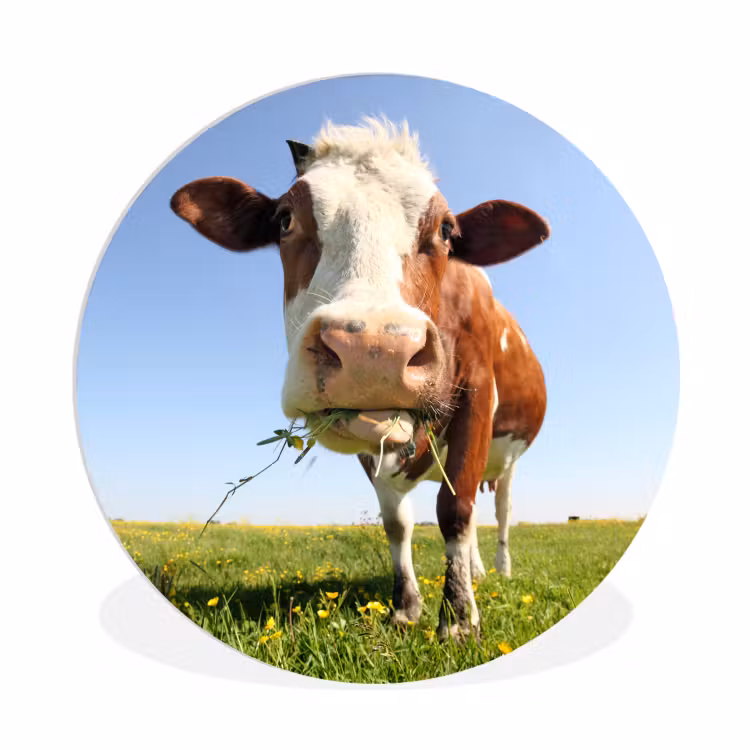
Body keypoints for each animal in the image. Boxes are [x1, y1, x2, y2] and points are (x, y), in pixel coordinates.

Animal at [171, 118, 548, 640]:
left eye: (447, 230)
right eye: (284, 219)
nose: (374, 350)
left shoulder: (476, 394)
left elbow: (455, 511)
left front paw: (457, 619)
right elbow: (397, 522)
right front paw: (407, 607)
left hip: (508, 458)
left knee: (498, 511)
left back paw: (498, 571)